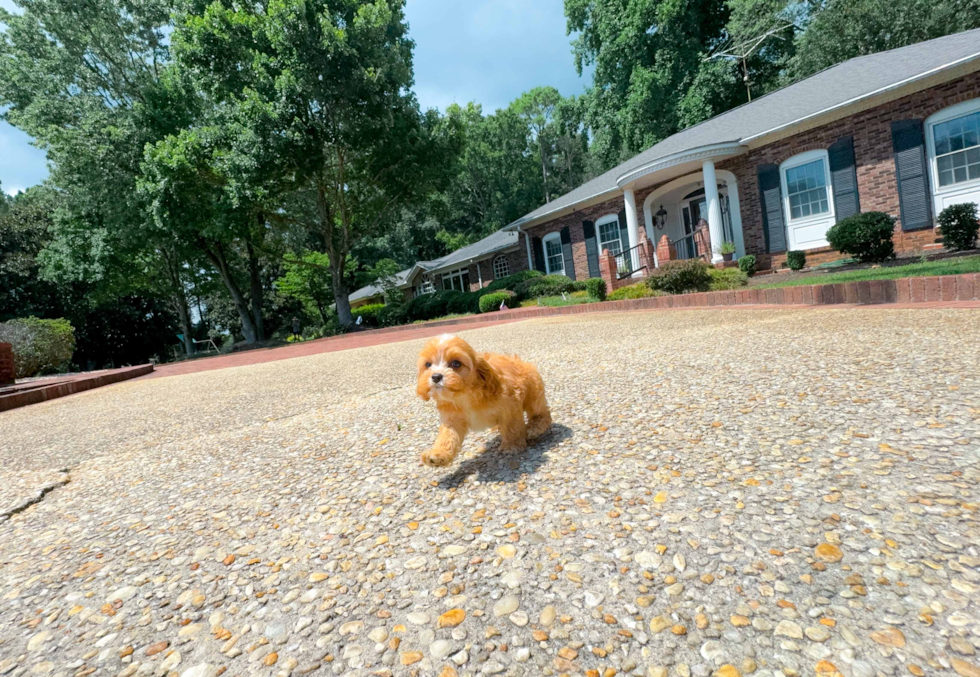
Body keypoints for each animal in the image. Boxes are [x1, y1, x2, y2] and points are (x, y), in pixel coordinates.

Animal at [416, 334, 552, 470]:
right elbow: (447, 436)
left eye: (456, 363)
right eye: (428, 364)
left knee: (541, 412)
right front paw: (438, 455)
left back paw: (534, 427)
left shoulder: (510, 407)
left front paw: (512, 446)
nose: (436, 376)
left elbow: (511, 426)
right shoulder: (453, 418)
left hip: (533, 391)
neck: (465, 396)